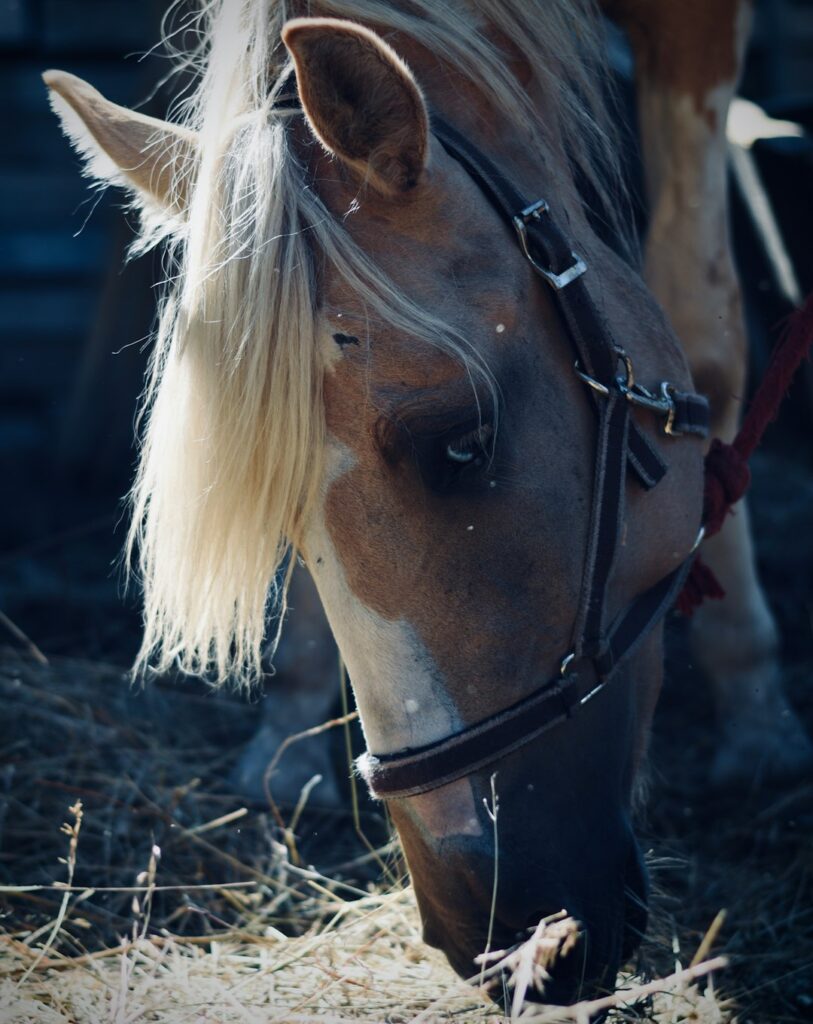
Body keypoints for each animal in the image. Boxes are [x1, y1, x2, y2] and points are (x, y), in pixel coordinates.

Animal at [45, 0, 811, 1005]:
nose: (494, 930)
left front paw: (756, 708)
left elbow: (709, 335)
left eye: (459, 445)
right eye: (283, 516)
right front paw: (290, 726)